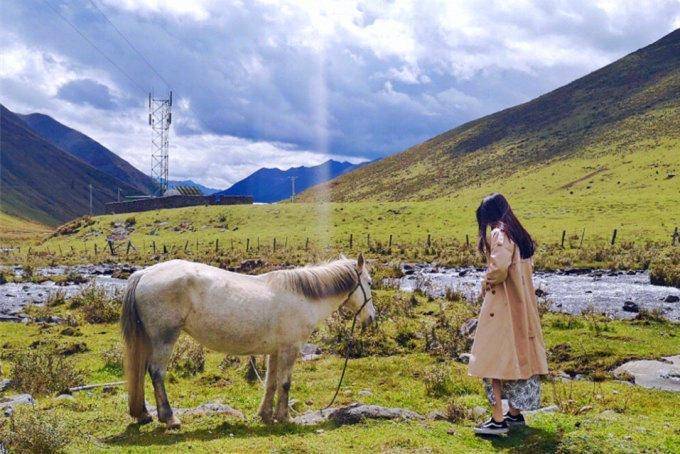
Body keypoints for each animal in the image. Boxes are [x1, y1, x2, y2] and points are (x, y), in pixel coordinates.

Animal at [120, 255, 374, 430]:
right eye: (370, 282)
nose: (372, 317)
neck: (303, 296)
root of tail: (144, 273)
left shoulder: (276, 351)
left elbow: (271, 383)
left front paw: (266, 415)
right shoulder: (290, 349)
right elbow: (285, 383)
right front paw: (285, 417)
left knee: (141, 372)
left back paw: (144, 414)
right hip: (164, 339)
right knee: (156, 373)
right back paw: (170, 418)